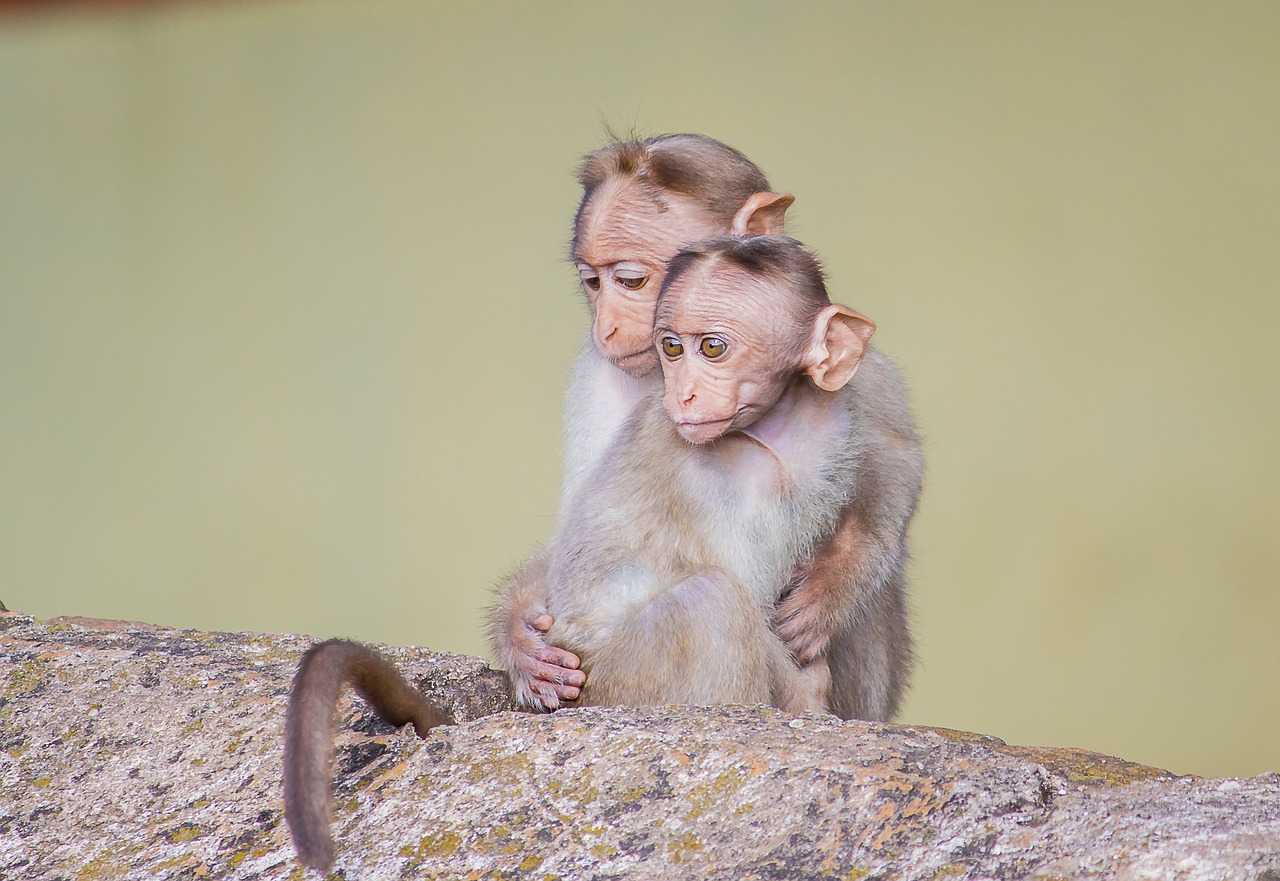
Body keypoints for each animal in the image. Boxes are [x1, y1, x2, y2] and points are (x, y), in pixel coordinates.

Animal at [488, 132, 921, 722]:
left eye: (631, 280)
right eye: (593, 283)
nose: (607, 326)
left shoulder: (851, 386)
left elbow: (895, 461)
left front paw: (834, 586)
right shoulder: (601, 383)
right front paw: (520, 632)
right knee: (709, 603)